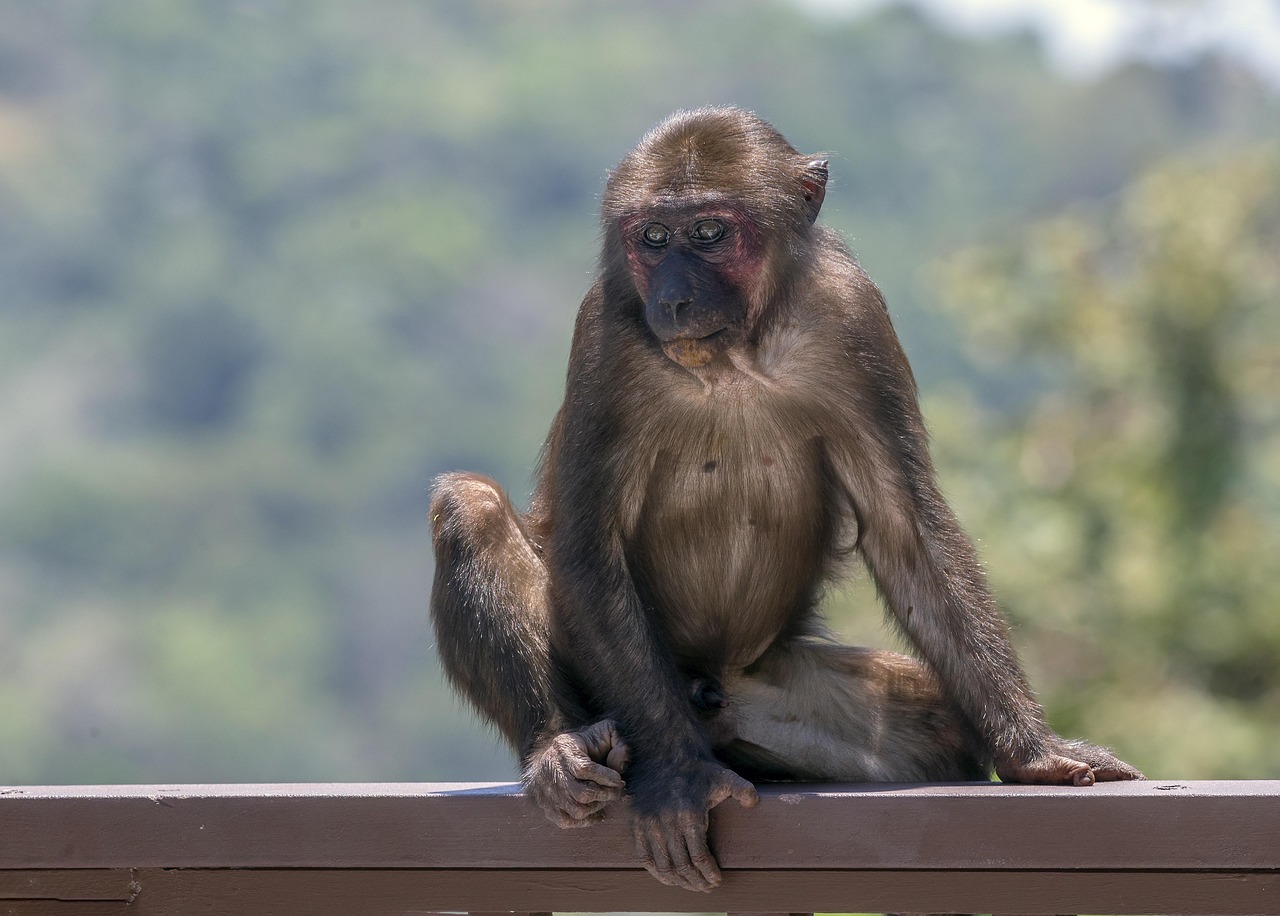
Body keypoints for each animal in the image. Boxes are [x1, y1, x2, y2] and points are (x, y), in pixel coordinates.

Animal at [430, 107, 1141, 895]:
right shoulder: (605, 335)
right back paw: (562, 747)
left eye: (709, 231)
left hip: (761, 691)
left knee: (936, 723)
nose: (673, 298)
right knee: (471, 508)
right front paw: (678, 777)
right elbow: (587, 544)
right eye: (654, 238)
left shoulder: (852, 313)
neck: (739, 354)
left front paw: (1032, 749)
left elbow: (906, 525)